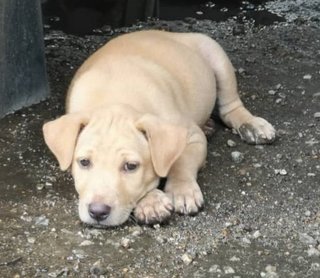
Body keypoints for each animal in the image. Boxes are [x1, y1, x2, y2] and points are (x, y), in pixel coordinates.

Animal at [42, 29, 276, 226]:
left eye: (131, 166)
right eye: (83, 162)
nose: (98, 212)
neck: (116, 97)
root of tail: (170, 32)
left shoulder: (191, 136)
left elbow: (180, 162)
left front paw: (181, 190)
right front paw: (152, 202)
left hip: (215, 54)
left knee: (230, 106)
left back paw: (251, 124)